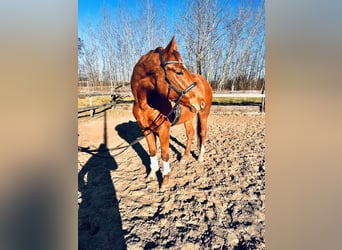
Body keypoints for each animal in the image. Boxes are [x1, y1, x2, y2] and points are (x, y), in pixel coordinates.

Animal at [130, 36, 211, 187]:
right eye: (179, 72)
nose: (201, 102)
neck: (146, 104)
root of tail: (204, 81)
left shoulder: (163, 129)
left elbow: (165, 154)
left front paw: (165, 179)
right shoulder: (146, 130)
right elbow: (152, 152)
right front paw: (151, 174)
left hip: (204, 114)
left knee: (202, 134)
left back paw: (200, 157)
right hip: (189, 117)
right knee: (190, 134)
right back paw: (185, 157)